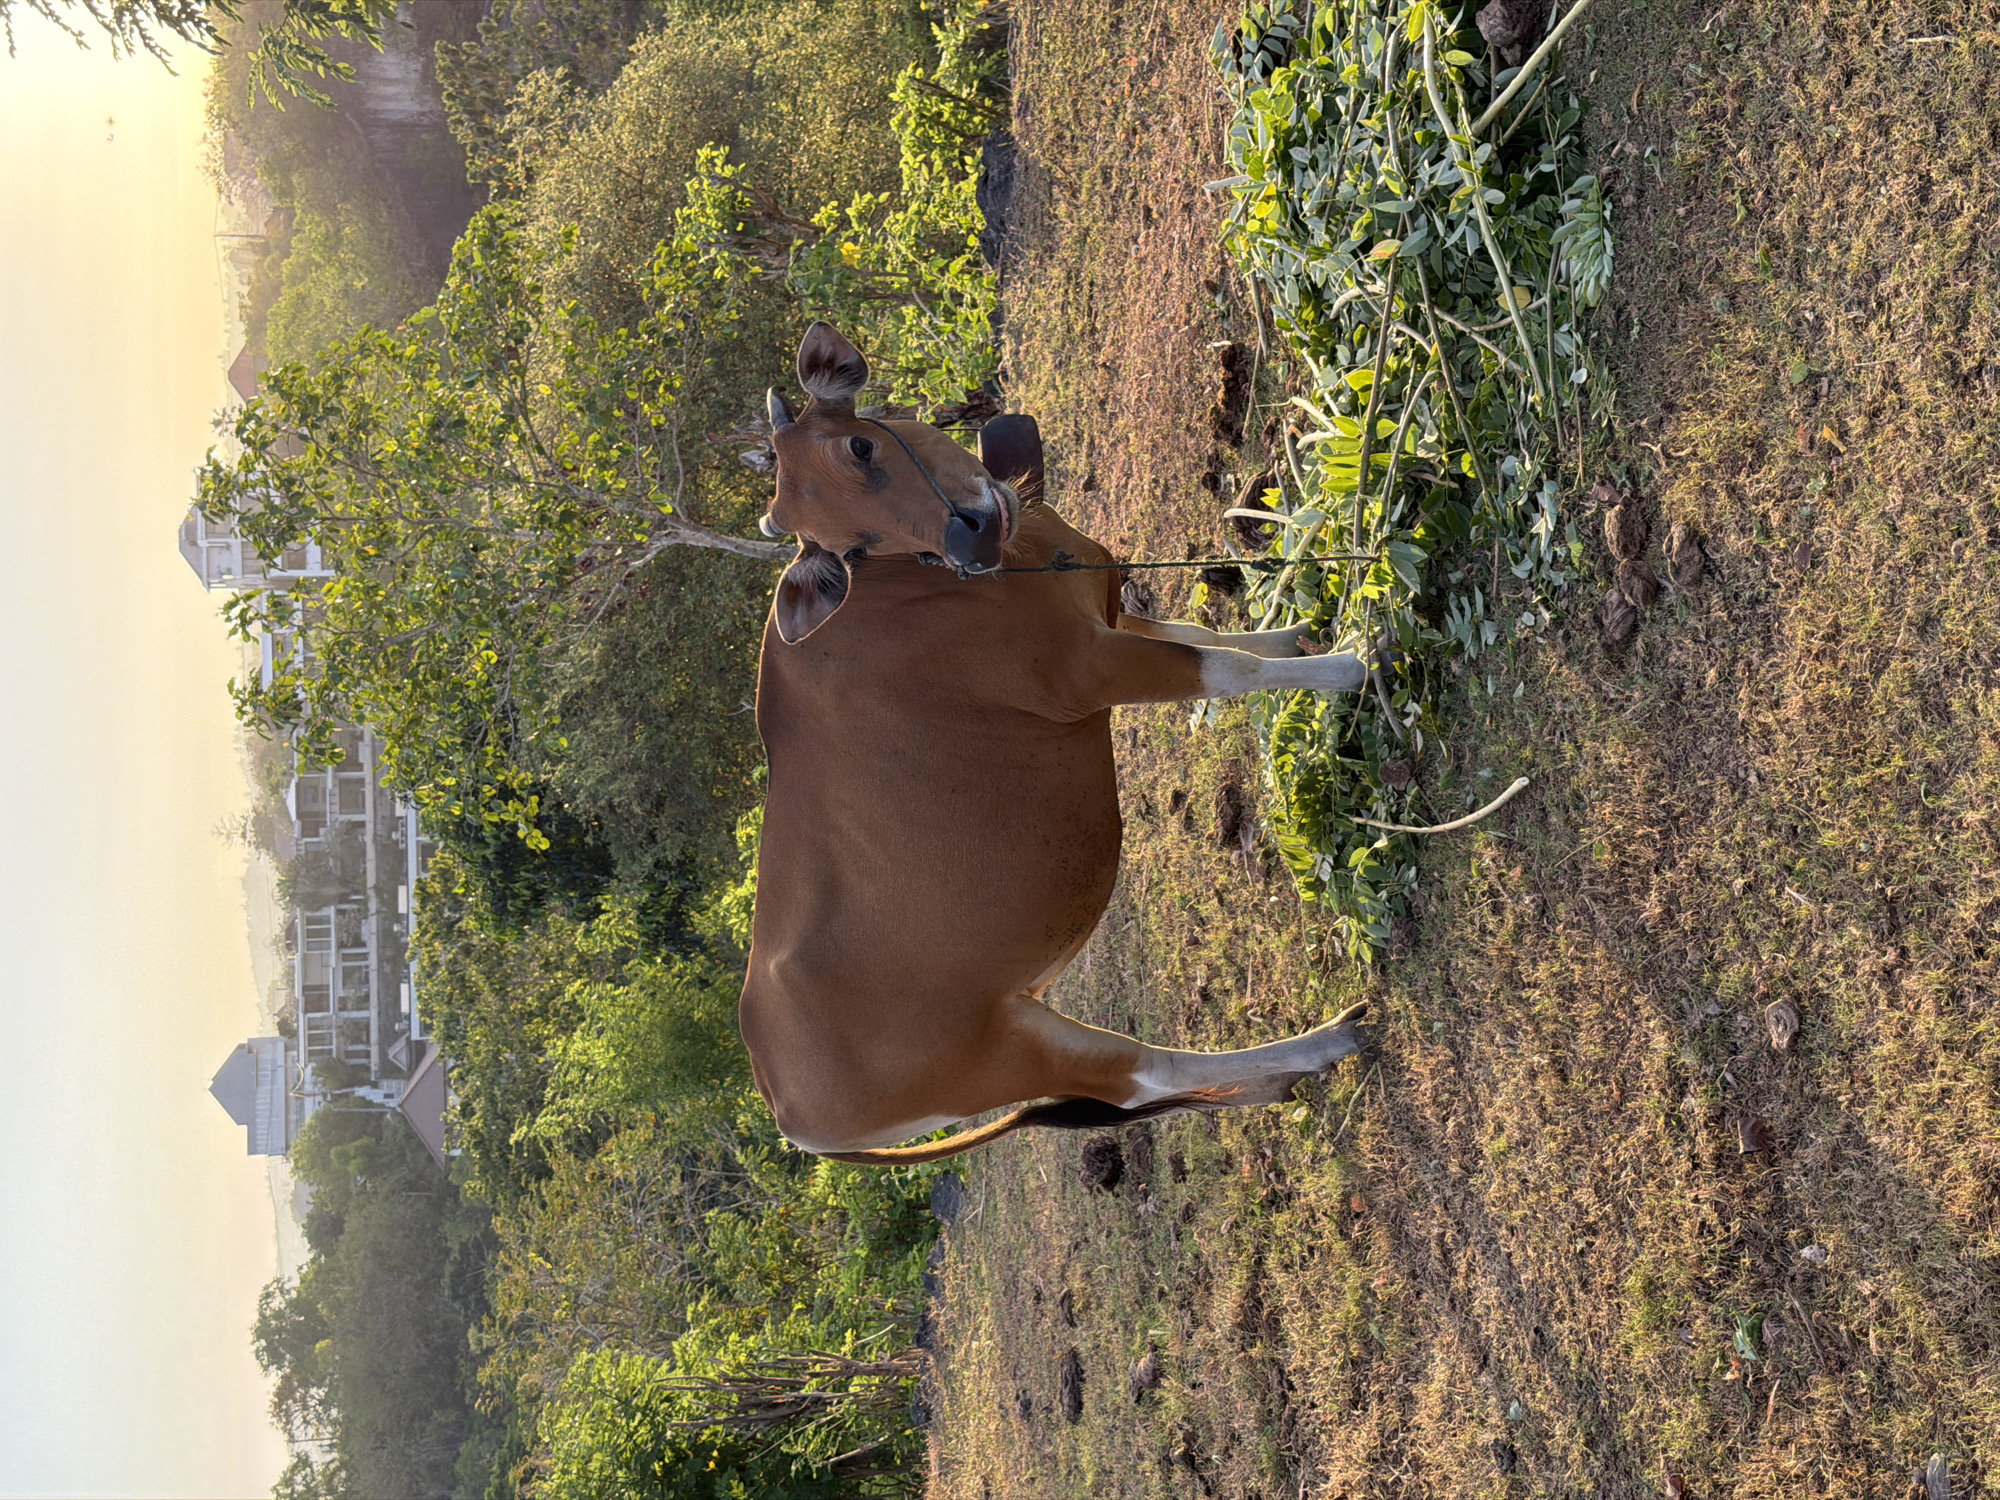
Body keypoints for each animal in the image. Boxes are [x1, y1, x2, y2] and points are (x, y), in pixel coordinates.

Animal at [740, 323, 1371, 1165]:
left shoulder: (1112, 612)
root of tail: (788, 1114)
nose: (969, 537)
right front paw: (1352, 663)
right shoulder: (1091, 669)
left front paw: (1300, 635)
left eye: (860, 447)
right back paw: (1321, 1045)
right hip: (1012, 1051)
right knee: (1140, 1076)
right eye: (854, 547)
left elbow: (1214, 635)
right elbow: (1227, 669)